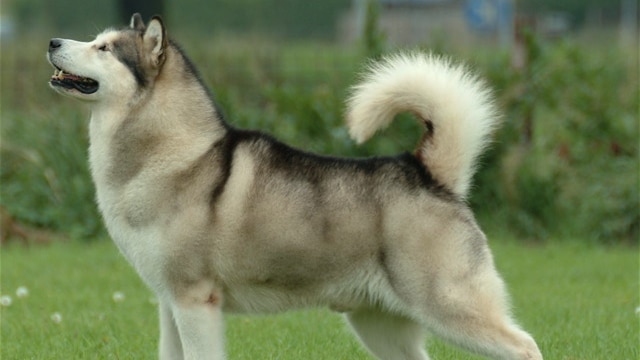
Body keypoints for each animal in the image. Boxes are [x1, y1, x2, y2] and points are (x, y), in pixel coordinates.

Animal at [47, 13, 544, 360]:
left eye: (104, 48)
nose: (53, 41)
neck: (175, 153)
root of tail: (427, 172)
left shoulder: (195, 301)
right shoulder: (170, 304)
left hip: (449, 304)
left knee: (526, 346)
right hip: (381, 324)